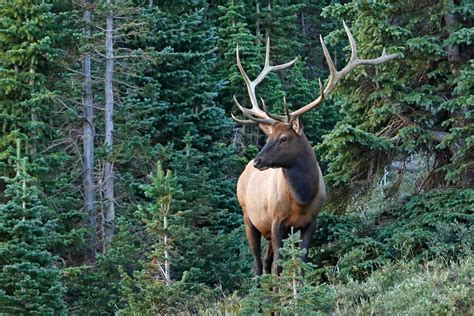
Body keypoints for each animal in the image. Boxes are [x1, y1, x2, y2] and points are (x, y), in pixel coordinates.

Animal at [233, 21, 400, 276]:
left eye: (283, 138)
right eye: (268, 137)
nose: (257, 161)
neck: (302, 197)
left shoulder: (311, 221)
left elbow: (301, 263)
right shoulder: (276, 220)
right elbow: (280, 265)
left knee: (266, 259)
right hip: (248, 217)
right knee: (258, 263)